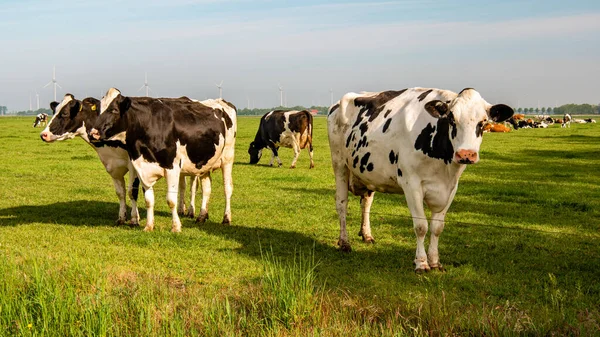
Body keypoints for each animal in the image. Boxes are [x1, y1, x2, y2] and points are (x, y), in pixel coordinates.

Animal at [89, 88, 237, 232]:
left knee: (228, 188)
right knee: (207, 188)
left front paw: (176, 227)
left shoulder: (173, 168)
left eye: (114, 110)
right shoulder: (141, 167)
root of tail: (221, 101)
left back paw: (226, 219)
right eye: (98, 110)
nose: (93, 133)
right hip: (204, 162)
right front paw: (149, 226)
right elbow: (148, 200)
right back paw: (201, 216)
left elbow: (171, 200)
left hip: (228, 158)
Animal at [326, 86, 512, 270]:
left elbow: (437, 227)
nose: (466, 154)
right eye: (451, 119)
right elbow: (421, 226)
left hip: (368, 172)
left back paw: (366, 235)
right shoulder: (411, 184)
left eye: (483, 122)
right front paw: (421, 263)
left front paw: (435, 261)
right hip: (339, 163)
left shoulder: (451, 187)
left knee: (366, 203)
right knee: (341, 203)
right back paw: (344, 243)